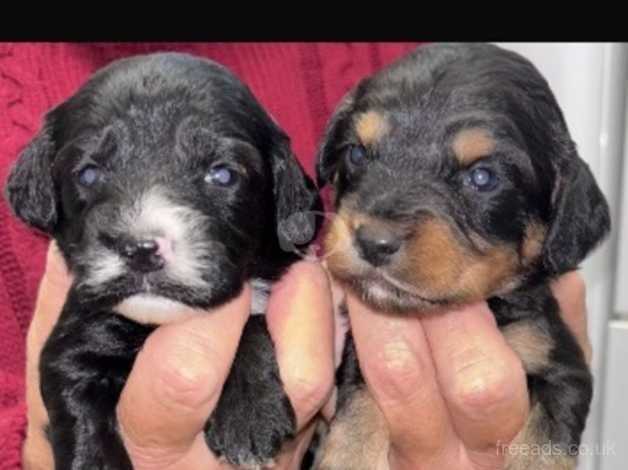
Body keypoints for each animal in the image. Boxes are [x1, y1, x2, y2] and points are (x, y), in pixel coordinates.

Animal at [3, 52, 318, 470]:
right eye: (89, 174)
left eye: (222, 174)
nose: (140, 249)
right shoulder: (76, 344)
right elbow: (80, 415)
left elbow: (250, 319)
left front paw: (250, 413)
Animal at [316, 42, 612, 468]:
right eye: (356, 153)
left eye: (483, 177)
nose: (373, 242)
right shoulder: (361, 356)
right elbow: (357, 410)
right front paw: (348, 457)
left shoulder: (559, 366)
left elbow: (543, 446)